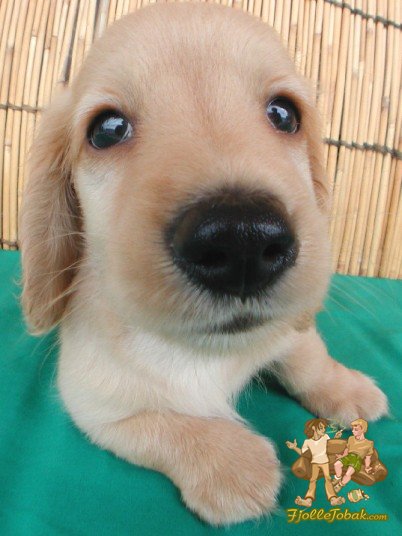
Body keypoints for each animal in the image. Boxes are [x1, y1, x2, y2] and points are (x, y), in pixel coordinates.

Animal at [20, 2, 388, 526]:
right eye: (107, 130)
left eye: (284, 114)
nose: (242, 241)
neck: (207, 352)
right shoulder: (95, 403)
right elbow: (165, 425)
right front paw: (233, 465)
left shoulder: (286, 326)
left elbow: (306, 354)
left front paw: (347, 388)